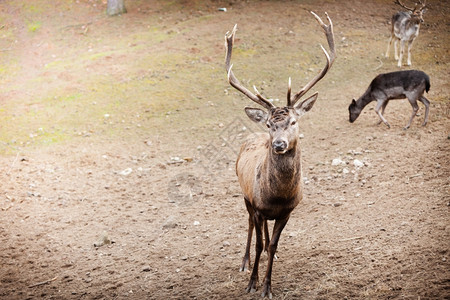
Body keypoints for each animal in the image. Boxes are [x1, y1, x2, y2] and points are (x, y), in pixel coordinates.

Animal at [224, 11, 334, 298]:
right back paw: (245, 262)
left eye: (293, 121)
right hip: (245, 196)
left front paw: (267, 286)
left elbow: (272, 244)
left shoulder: (287, 212)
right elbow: (258, 242)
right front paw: (252, 283)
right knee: (251, 226)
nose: (279, 144)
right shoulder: (258, 206)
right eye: (269, 124)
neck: (277, 196)